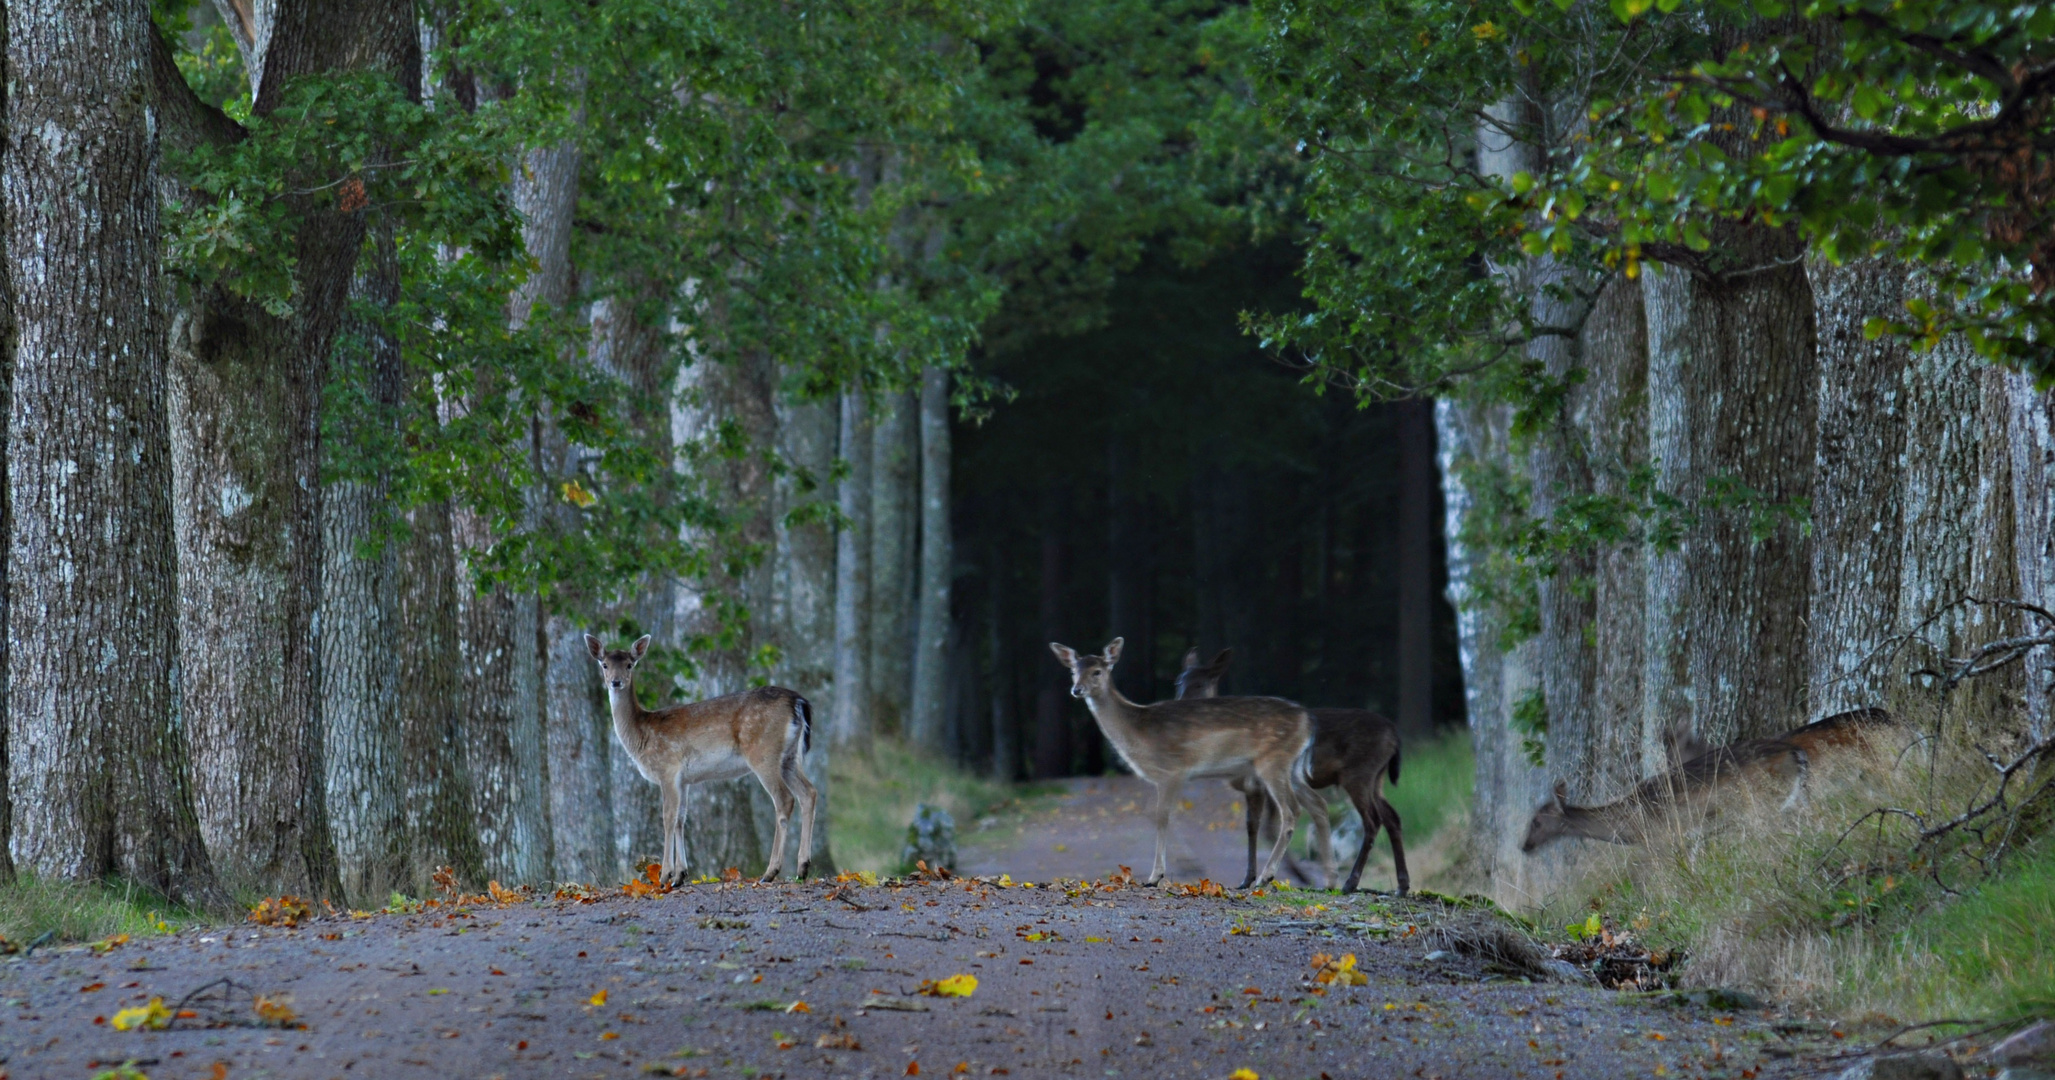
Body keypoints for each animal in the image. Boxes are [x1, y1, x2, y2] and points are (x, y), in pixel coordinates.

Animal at [583, 636, 813, 891]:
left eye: (629, 665)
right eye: (604, 664)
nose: (616, 682)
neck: (642, 735)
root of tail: (798, 702)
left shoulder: (667, 767)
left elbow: (668, 817)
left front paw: (664, 877)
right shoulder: (684, 780)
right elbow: (681, 819)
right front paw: (680, 875)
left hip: (763, 752)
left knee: (785, 799)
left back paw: (770, 872)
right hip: (790, 757)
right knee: (808, 792)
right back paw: (802, 868)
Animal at [1043, 644, 1315, 891]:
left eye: (1097, 671)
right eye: (1073, 671)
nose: (1077, 689)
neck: (1138, 732)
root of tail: (1306, 719)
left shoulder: (1172, 769)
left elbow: (1161, 815)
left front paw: (1155, 876)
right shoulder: (1172, 776)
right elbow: (1158, 813)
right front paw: (1185, 866)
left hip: (1273, 760)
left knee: (1291, 810)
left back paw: (1266, 877)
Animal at [1175, 652, 1413, 899]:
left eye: (1200, 684)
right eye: (1179, 682)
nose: (1181, 706)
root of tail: (1395, 735)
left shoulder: (1260, 782)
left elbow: (1268, 827)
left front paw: (1291, 875)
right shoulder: (1253, 786)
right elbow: (1252, 825)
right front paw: (1247, 878)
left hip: (1358, 773)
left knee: (1372, 820)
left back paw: (1350, 882)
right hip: (1376, 779)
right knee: (1392, 817)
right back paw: (1401, 885)